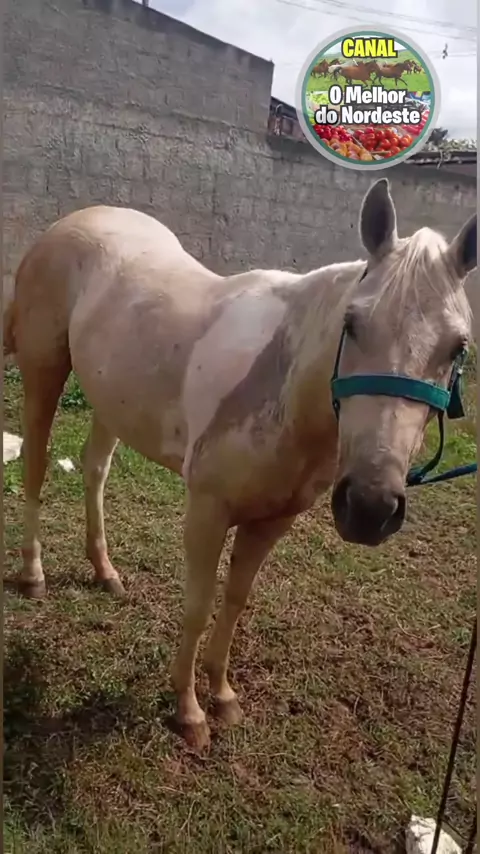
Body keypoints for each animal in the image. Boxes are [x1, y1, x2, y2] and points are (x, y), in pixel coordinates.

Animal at [4, 179, 476, 751]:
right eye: (352, 323)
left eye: (458, 346)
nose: (369, 507)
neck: (283, 384)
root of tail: (74, 222)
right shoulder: (207, 512)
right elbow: (198, 604)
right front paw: (188, 713)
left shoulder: (271, 522)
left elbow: (234, 601)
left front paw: (223, 696)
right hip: (44, 371)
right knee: (36, 466)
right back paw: (33, 576)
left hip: (111, 400)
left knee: (95, 471)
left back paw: (105, 572)